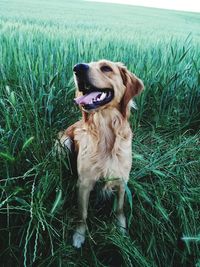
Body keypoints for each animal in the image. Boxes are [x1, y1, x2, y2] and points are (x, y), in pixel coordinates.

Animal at [56, 60, 144, 249]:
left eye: (106, 68)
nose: (77, 68)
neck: (106, 134)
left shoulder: (121, 180)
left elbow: (119, 209)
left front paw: (121, 230)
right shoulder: (84, 183)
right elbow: (82, 214)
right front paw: (79, 235)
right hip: (64, 143)